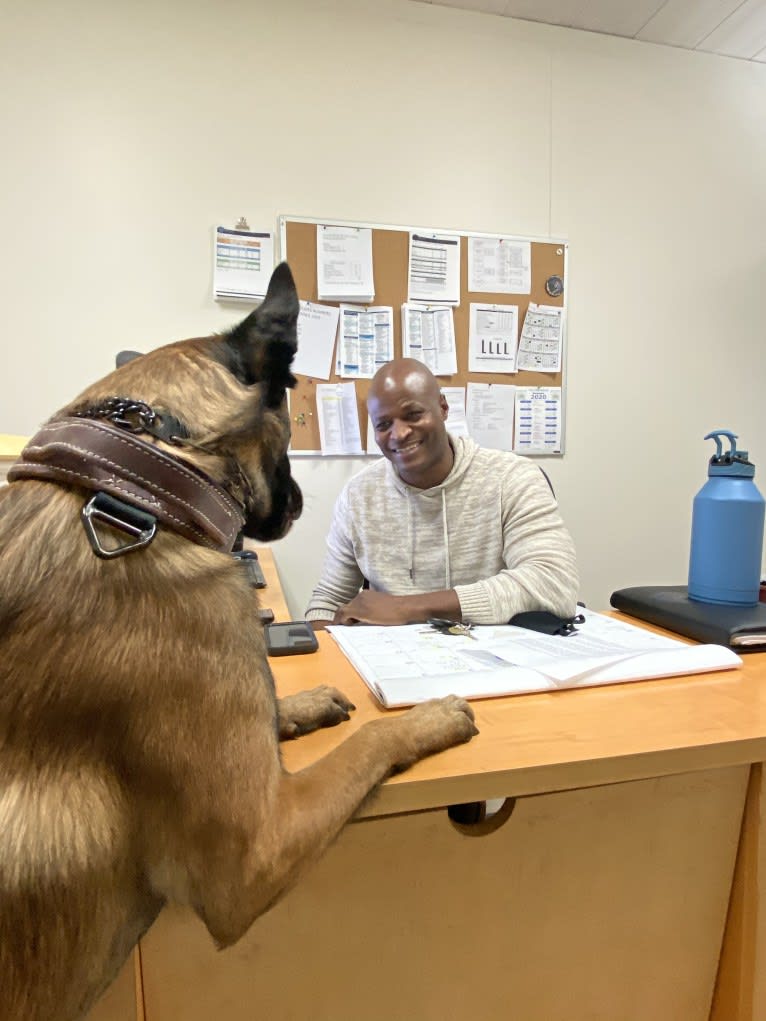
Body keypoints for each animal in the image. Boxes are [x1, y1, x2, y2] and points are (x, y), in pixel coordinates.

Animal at [0, 263, 480, 1021]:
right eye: (288, 421)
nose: (302, 505)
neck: (136, 492)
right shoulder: (256, 850)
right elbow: (367, 741)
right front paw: (430, 715)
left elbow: (270, 709)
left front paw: (305, 703)